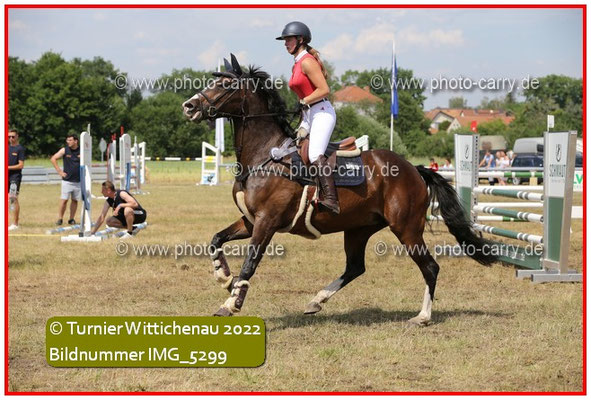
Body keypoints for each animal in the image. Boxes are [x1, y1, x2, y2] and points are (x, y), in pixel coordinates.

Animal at [182, 54, 497, 326]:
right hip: (359, 228)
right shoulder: (250, 220)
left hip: (406, 228)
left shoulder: (266, 222)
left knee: (430, 267)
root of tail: (413, 169)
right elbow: (216, 239)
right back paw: (316, 301)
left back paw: (422, 316)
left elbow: (250, 263)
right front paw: (224, 278)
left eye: (225, 85)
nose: (189, 106)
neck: (264, 156)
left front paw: (231, 303)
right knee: (356, 267)